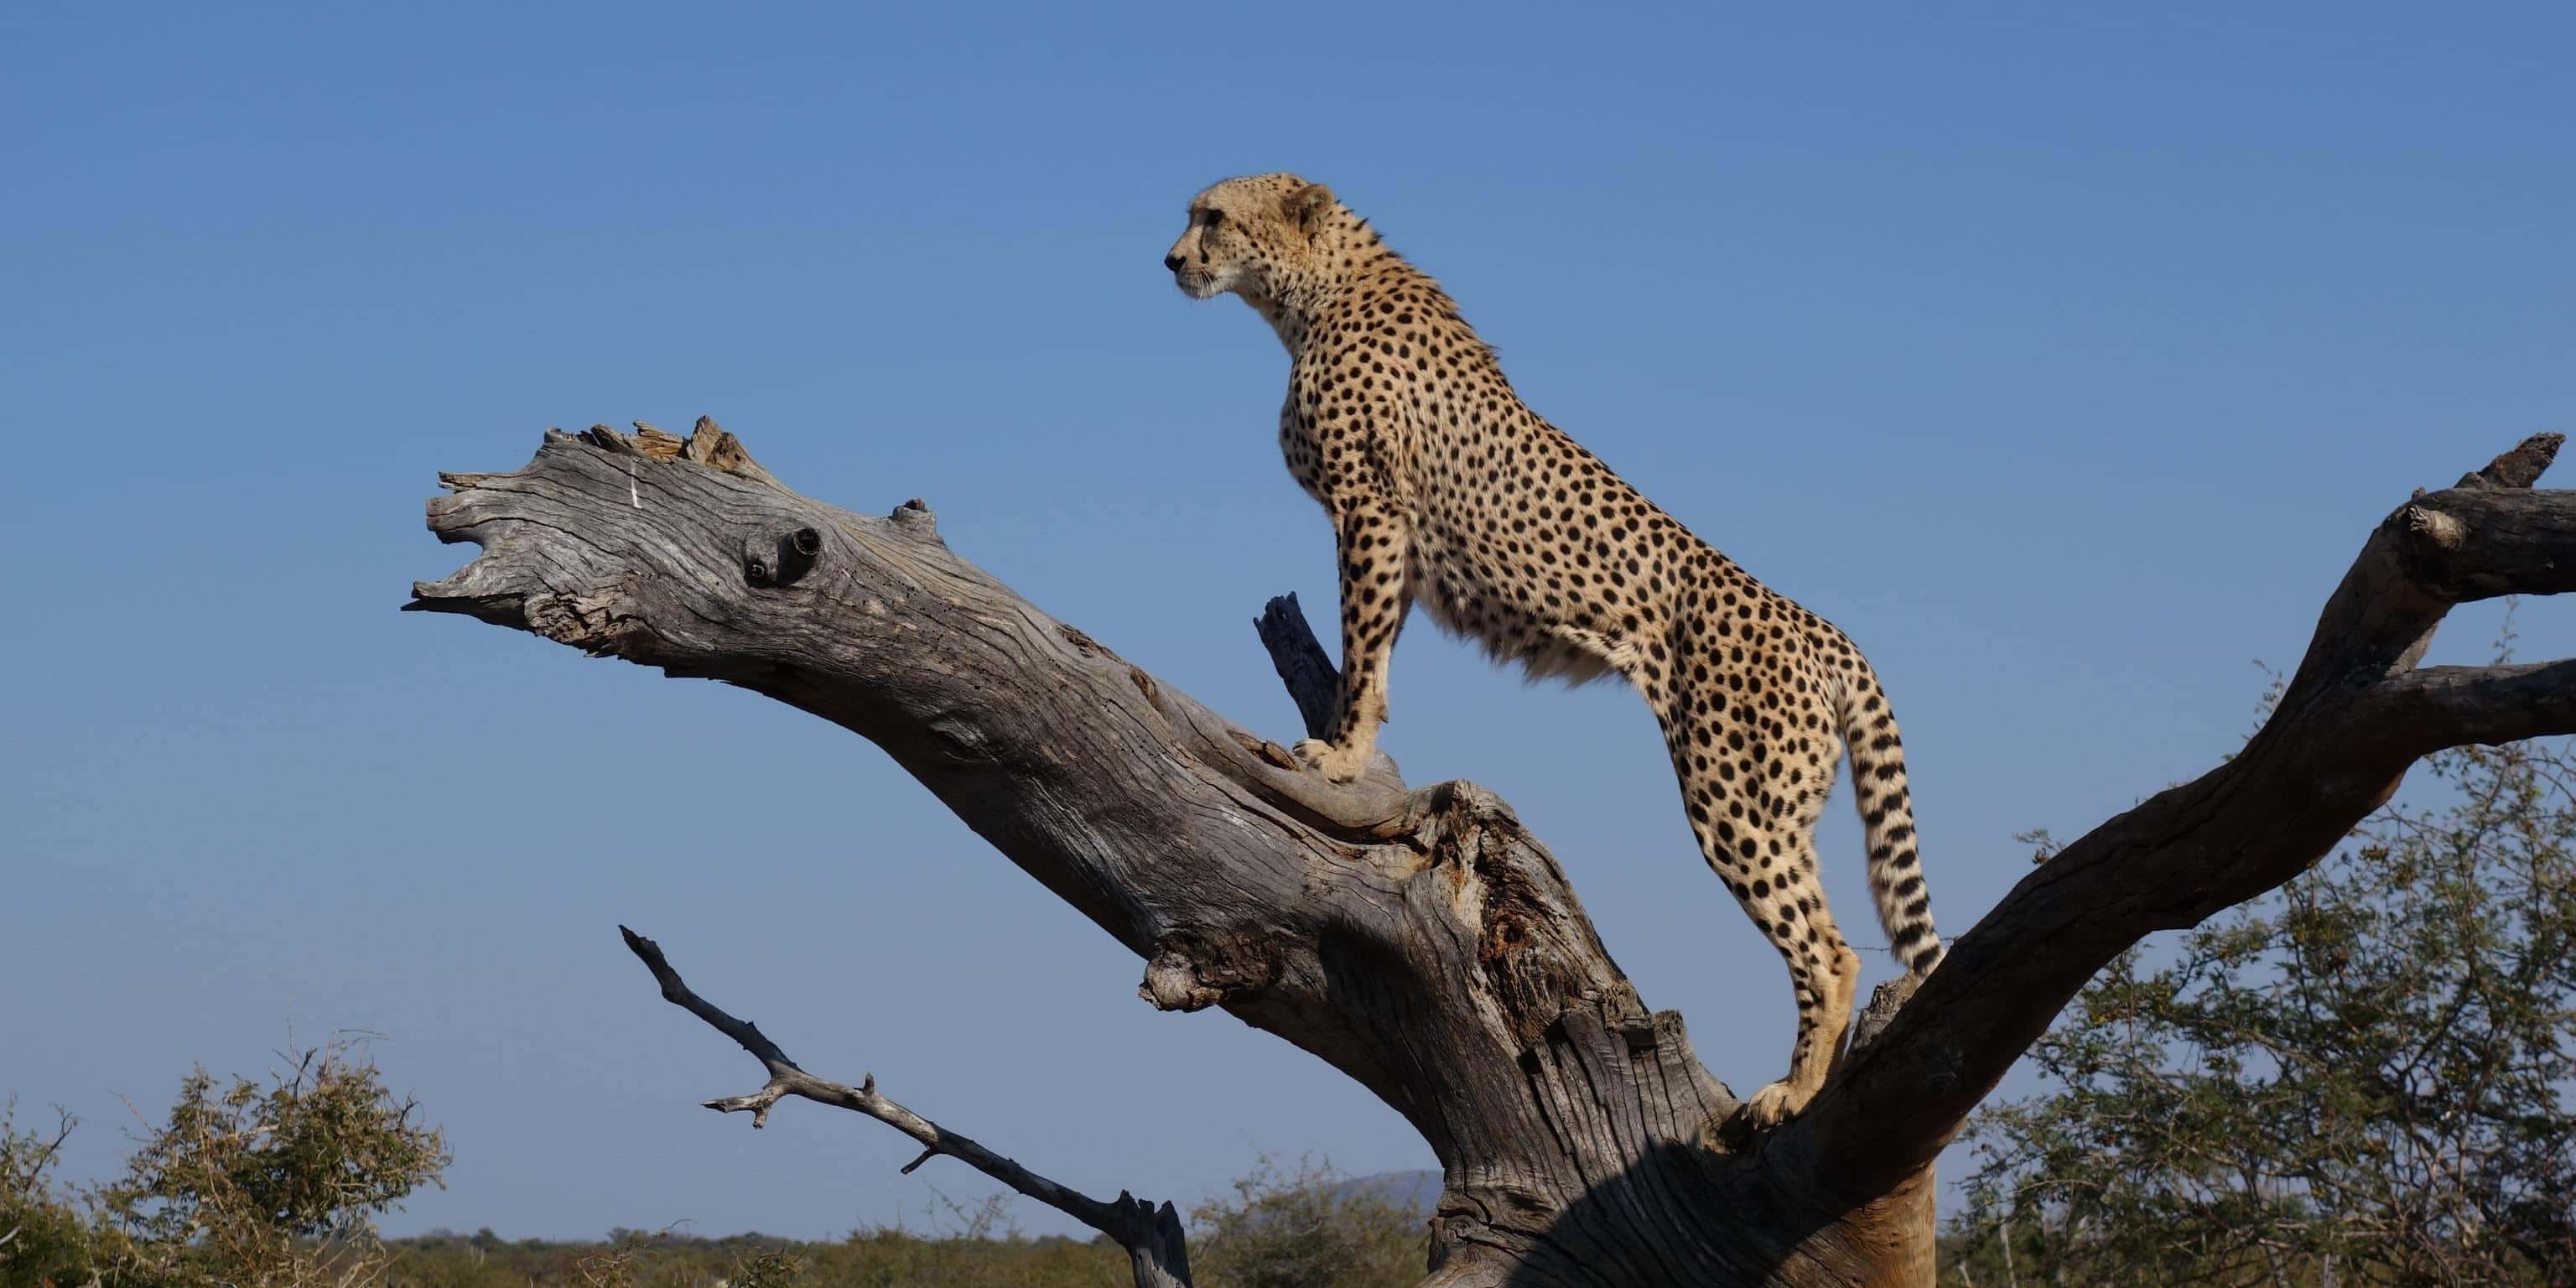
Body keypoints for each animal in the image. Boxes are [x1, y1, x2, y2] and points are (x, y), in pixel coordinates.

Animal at [1164, 173, 1946, 1127]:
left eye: (1214, 218)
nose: (1171, 259)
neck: (1314, 294)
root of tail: (1826, 632)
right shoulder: (1394, 534)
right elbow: (1376, 655)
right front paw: (1355, 741)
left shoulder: (1371, 511)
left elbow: (1363, 645)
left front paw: (1340, 757)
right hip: (1785, 806)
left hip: (1736, 799)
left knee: (1831, 951)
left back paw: (1791, 1093)